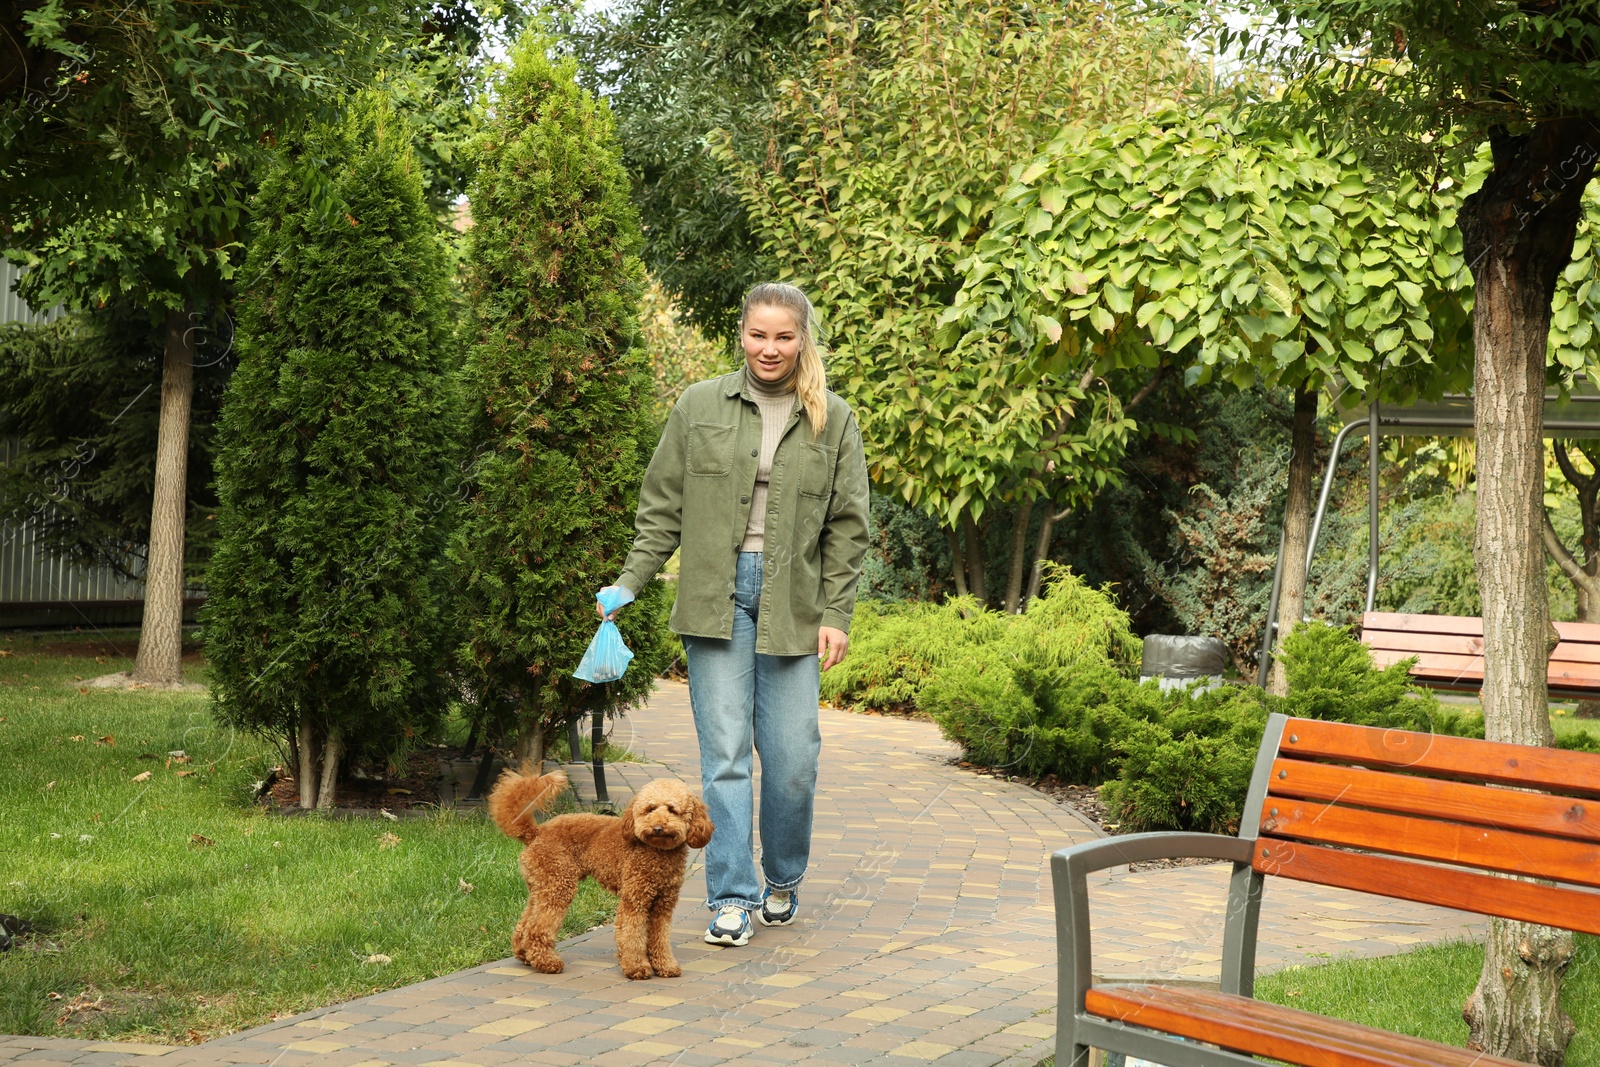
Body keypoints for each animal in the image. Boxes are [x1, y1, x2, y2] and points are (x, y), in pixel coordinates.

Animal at [486, 767, 713, 985]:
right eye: (650, 809)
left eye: (673, 810)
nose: (657, 828)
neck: (657, 851)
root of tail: (536, 832)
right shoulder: (635, 900)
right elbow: (631, 934)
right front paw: (636, 967)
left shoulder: (663, 905)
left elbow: (660, 937)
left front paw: (665, 966)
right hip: (559, 885)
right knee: (536, 928)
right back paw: (546, 962)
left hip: (541, 886)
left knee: (524, 925)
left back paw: (525, 955)